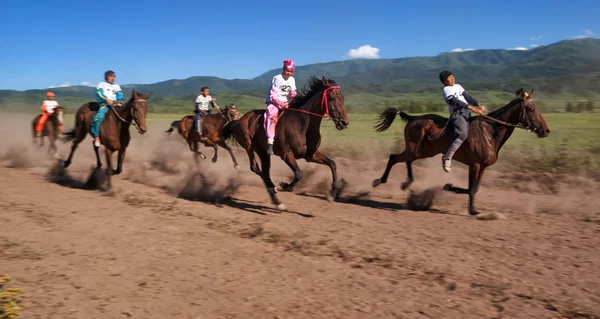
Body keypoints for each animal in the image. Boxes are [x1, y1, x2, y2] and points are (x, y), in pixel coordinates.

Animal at [223, 75, 350, 210]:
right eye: (332, 98)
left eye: (342, 98)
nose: (344, 122)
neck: (302, 124)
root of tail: (238, 121)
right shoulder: (287, 154)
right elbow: (299, 173)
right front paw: (285, 185)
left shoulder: (311, 155)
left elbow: (332, 164)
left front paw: (332, 194)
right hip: (249, 146)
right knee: (255, 168)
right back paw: (272, 187)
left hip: (263, 152)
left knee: (265, 171)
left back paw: (277, 201)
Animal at [372, 89, 552, 216]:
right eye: (531, 108)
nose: (546, 130)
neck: (490, 131)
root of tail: (412, 118)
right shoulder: (475, 165)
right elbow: (471, 189)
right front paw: (468, 206)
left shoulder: (482, 167)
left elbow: (475, 188)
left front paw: (454, 189)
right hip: (414, 149)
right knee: (393, 158)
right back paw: (379, 181)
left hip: (423, 151)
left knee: (406, 160)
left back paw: (407, 183)